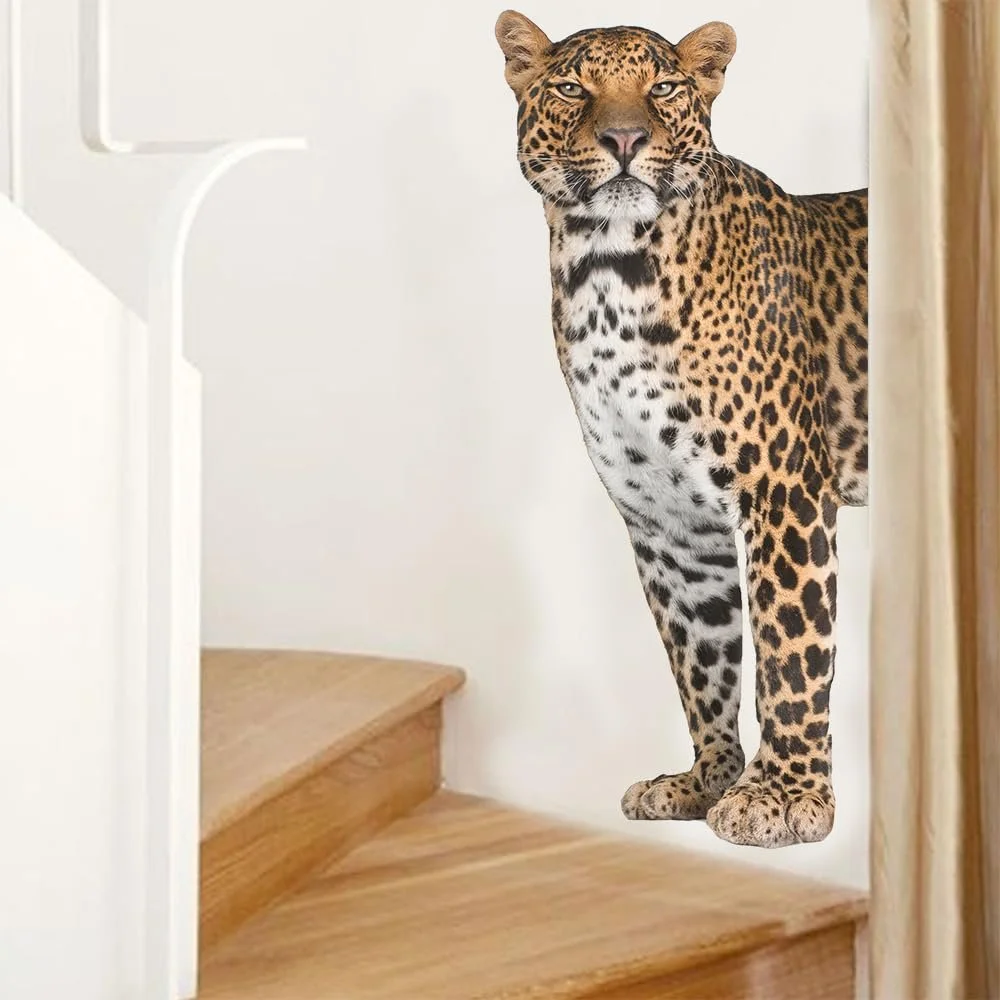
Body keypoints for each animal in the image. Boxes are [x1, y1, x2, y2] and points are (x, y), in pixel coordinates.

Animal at [494, 11, 868, 848]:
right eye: (573, 88)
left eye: (663, 86)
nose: (625, 138)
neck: (608, 268)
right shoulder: (668, 519)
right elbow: (703, 659)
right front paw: (707, 781)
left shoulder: (783, 490)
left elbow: (790, 653)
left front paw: (786, 797)